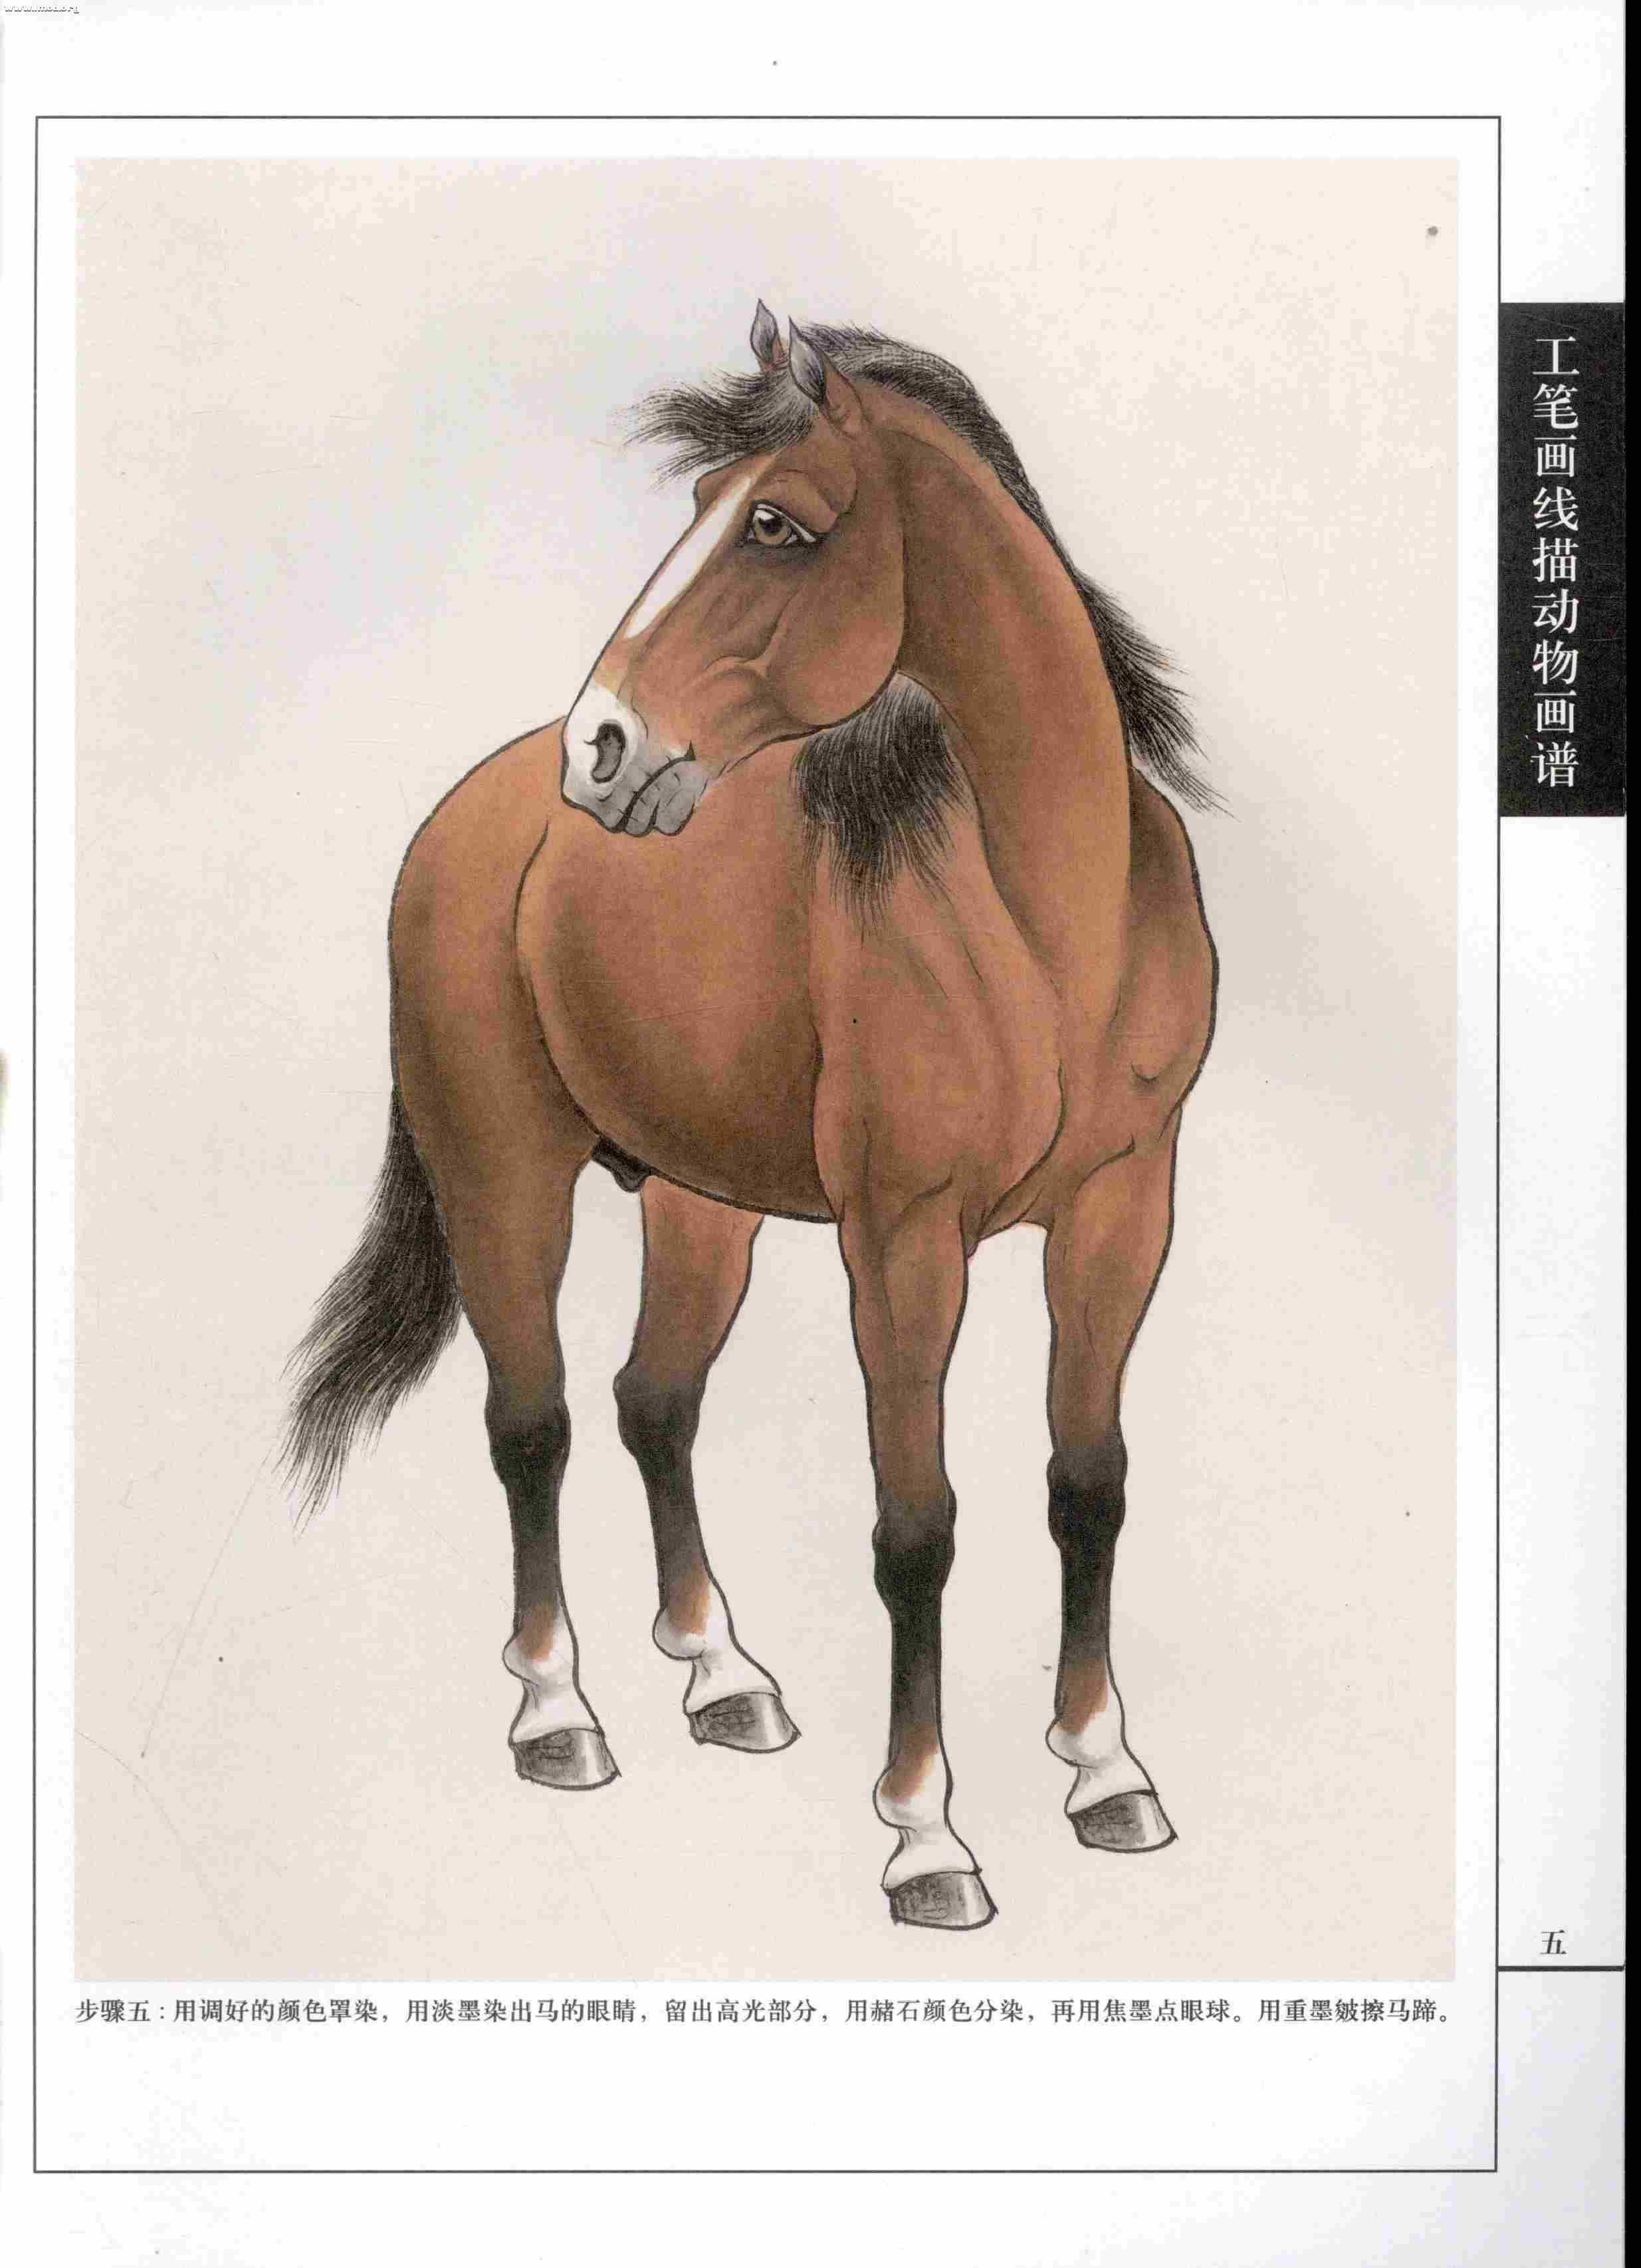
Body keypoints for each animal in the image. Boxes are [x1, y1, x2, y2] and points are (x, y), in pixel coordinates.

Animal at [284, 306, 1219, 1932]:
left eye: (774, 523)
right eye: (703, 509)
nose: (602, 746)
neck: (1052, 928)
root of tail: (475, 817)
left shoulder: (1122, 1210)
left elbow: (1085, 1487)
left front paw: (1105, 1773)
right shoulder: (902, 1244)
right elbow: (916, 1528)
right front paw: (925, 1837)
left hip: (695, 1203)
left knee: (651, 1400)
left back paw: (720, 1677)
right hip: (502, 1180)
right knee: (530, 1422)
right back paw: (558, 1713)